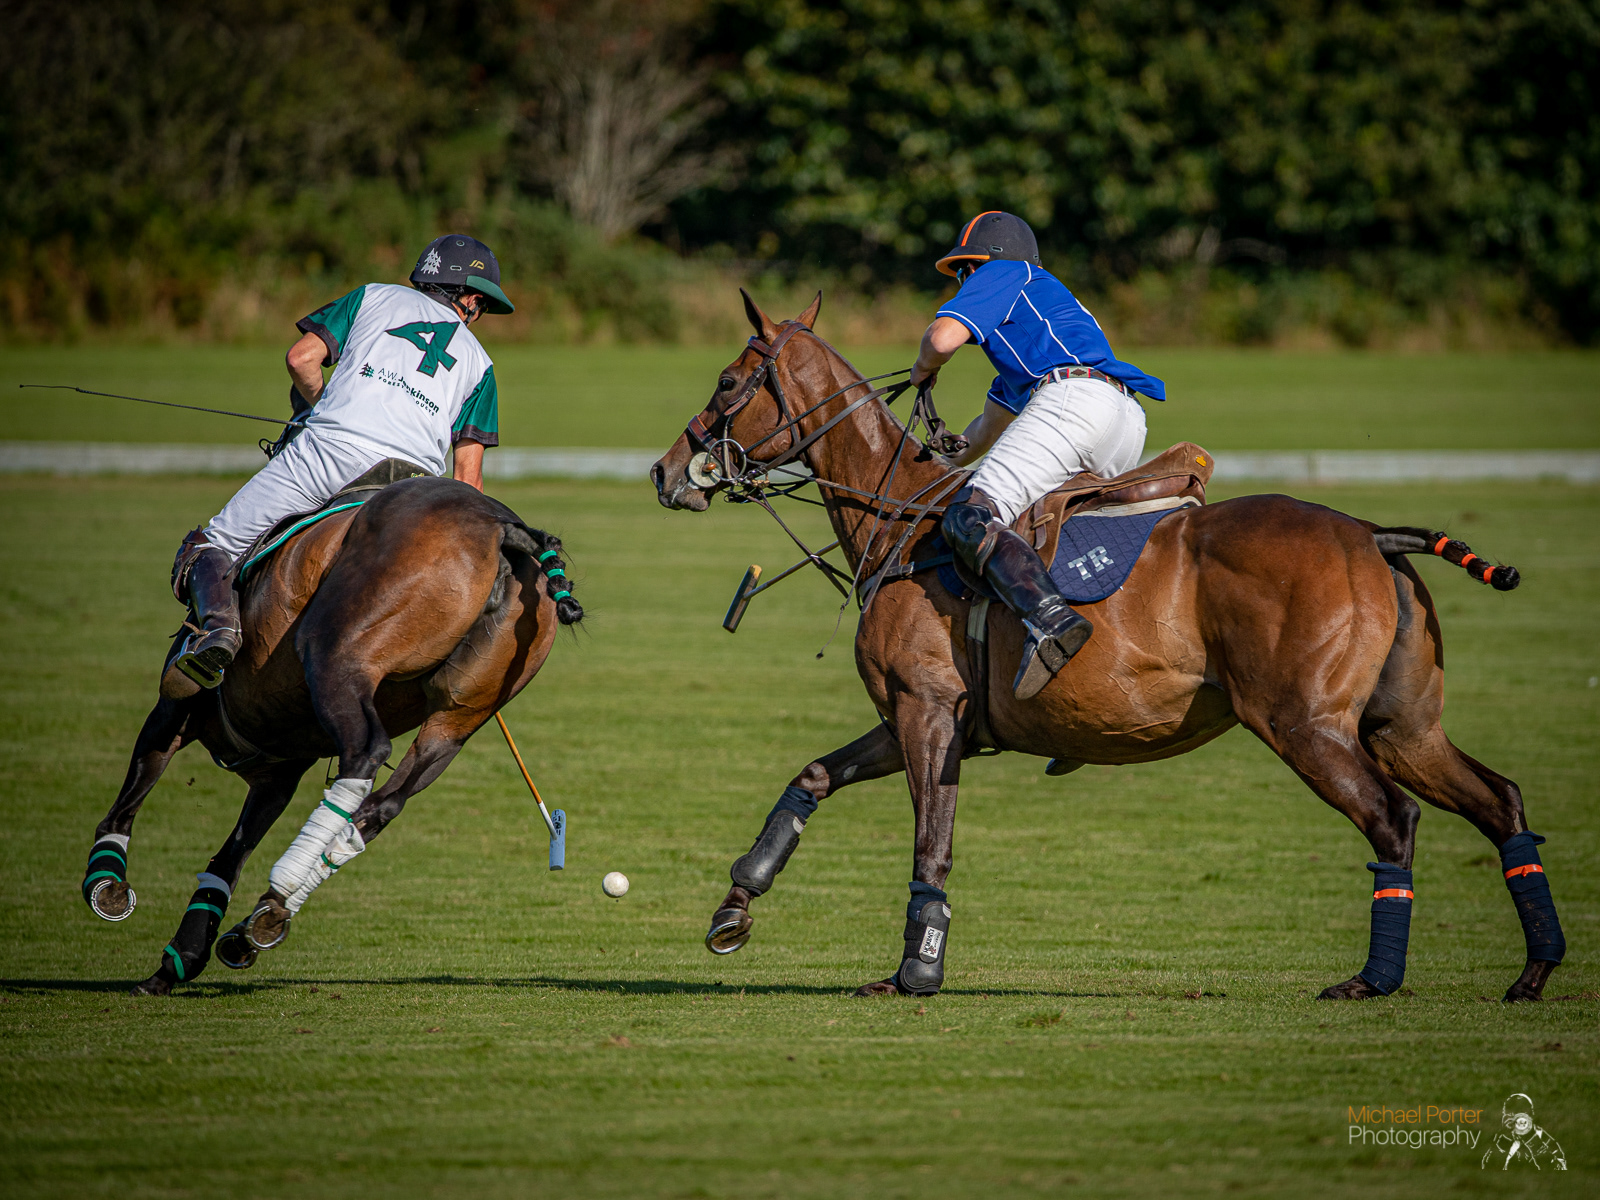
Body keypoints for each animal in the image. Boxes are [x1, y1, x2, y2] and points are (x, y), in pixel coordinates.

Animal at [82, 475, 582, 996]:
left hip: (335, 655)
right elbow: (227, 859)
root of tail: (501, 528)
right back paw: (263, 917)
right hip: (458, 719)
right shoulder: (278, 773)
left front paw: (107, 885)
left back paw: (276, 898)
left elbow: (130, 800)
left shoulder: (177, 709)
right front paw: (180, 959)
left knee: (365, 753)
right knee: (382, 803)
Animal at [650, 291, 1567, 1003]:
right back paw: (1534, 971)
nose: (664, 472)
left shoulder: (928, 709)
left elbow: (930, 841)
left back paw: (1373, 980)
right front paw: (733, 911)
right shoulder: (927, 716)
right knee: (1501, 801)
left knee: (1392, 818)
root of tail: (1374, 535)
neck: (900, 517)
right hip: (1400, 725)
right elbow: (811, 777)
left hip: (1305, 723)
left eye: (728, 382)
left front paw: (915, 972)